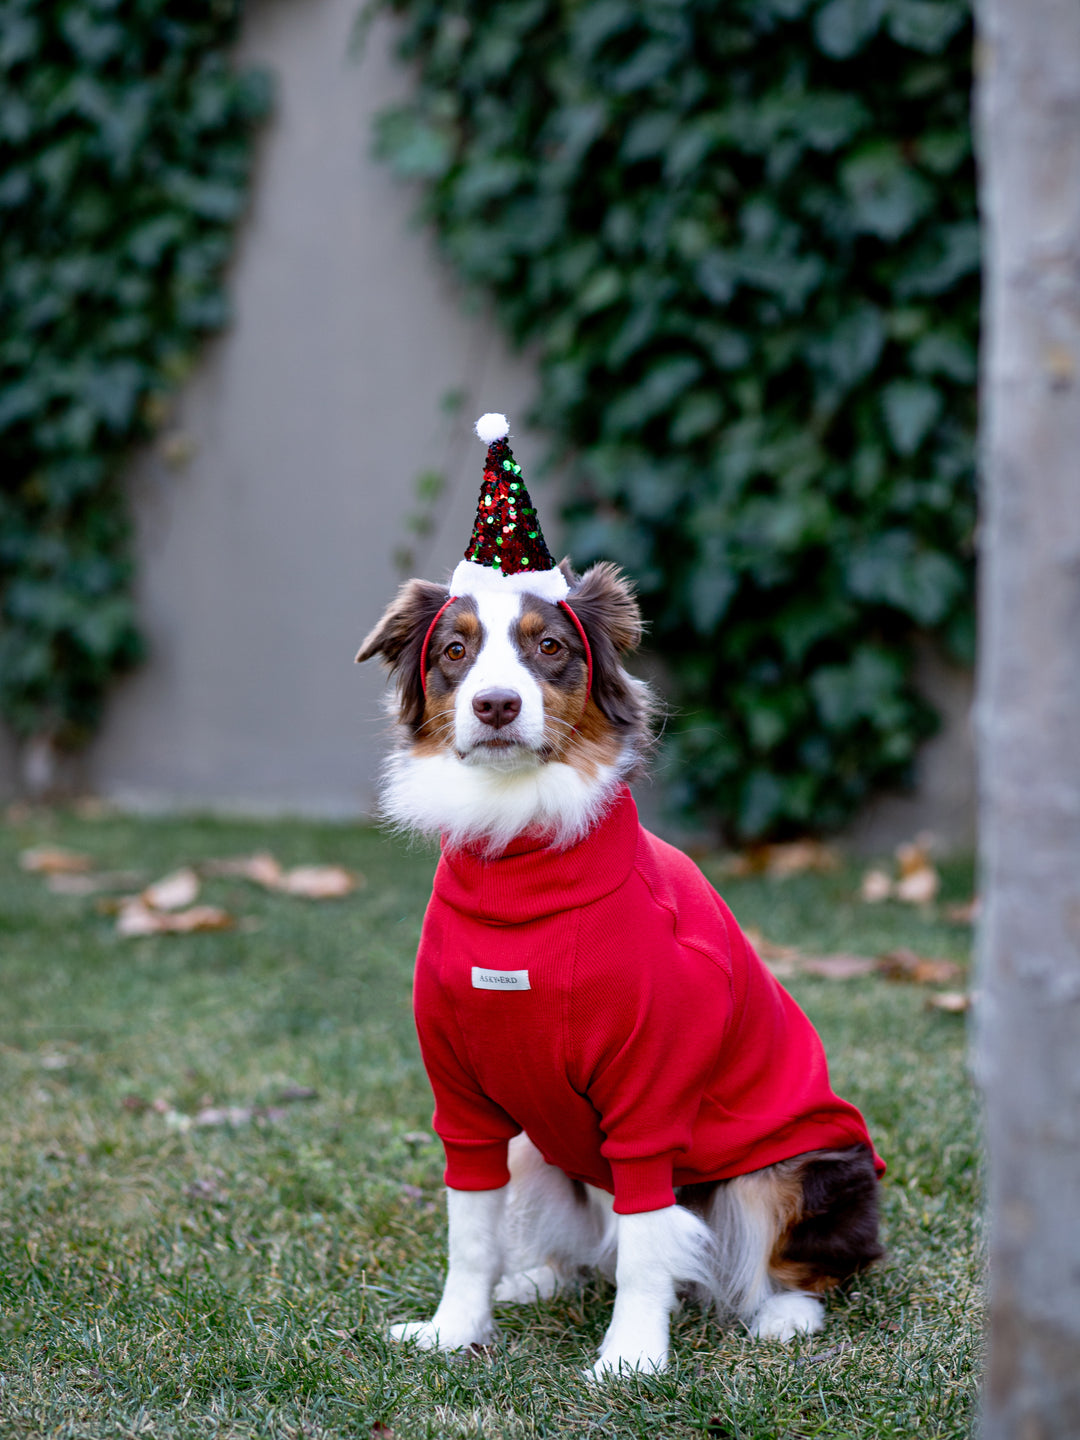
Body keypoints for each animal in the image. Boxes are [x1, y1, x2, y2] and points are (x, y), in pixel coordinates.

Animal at [355, 423, 881, 1370]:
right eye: (455, 652)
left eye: (550, 649)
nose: (496, 705)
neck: (521, 857)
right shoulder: (465, 1102)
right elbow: (470, 1232)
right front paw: (456, 1329)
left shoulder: (650, 1091)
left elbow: (645, 1238)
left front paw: (633, 1355)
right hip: (539, 1147)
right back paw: (537, 1282)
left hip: (804, 1163)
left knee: (769, 1257)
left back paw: (780, 1314)